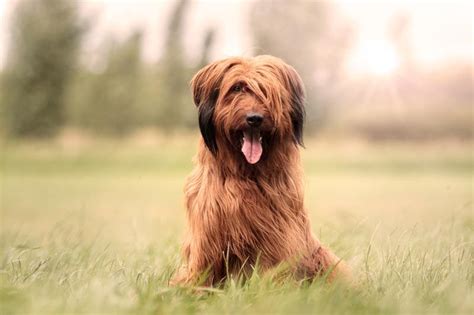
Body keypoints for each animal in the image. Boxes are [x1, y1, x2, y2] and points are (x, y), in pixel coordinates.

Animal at [172, 55, 350, 288]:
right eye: (237, 88)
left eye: (268, 91)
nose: (254, 118)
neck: (246, 174)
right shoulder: (207, 231)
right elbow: (203, 267)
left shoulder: (277, 231)